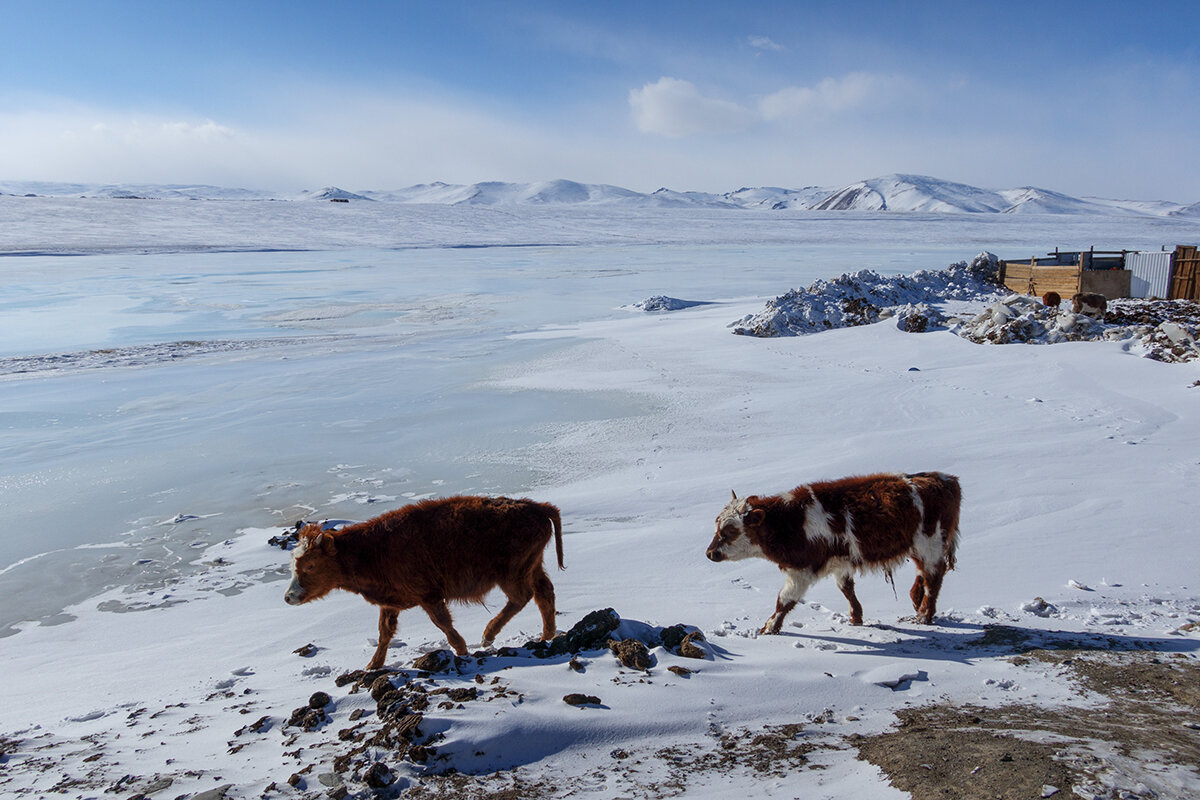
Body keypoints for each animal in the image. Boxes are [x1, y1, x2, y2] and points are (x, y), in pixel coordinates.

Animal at [284, 494, 561, 671]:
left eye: (310, 565)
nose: (288, 596)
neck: (371, 550)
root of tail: (538, 507)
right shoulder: (390, 602)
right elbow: (384, 633)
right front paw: (373, 665)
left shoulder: (429, 595)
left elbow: (443, 623)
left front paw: (462, 650)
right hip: (532, 568)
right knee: (544, 593)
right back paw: (545, 636)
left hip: (512, 574)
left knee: (521, 597)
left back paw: (488, 636)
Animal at [705, 472, 960, 633]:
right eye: (717, 524)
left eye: (730, 530)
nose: (709, 553)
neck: (791, 521)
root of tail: (945, 479)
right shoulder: (840, 563)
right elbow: (846, 589)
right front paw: (856, 618)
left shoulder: (801, 571)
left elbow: (784, 601)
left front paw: (769, 628)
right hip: (918, 547)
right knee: (924, 573)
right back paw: (916, 600)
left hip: (930, 544)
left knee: (934, 577)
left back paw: (924, 615)